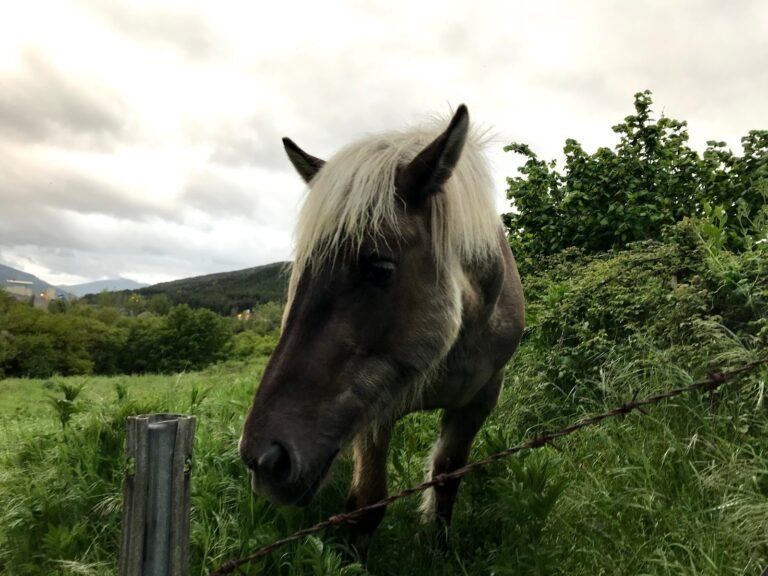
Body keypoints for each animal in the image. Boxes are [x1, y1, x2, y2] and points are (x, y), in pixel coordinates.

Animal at [239, 105, 525, 559]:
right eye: (300, 277)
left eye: (379, 268)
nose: (265, 458)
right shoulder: (376, 407)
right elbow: (367, 503)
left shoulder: (478, 400)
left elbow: (446, 477)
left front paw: (438, 549)